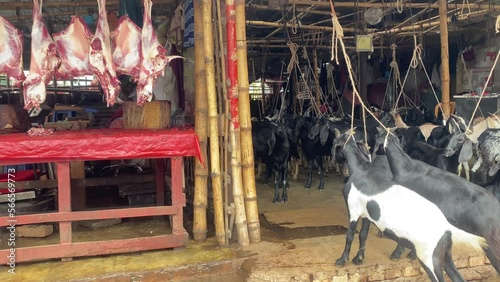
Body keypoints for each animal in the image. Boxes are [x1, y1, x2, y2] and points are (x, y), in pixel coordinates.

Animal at [330, 129, 474, 280]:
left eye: (334, 142)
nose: (342, 169)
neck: (360, 169)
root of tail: (447, 229)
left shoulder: (353, 210)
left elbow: (350, 235)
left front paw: (342, 260)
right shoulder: (366, 214)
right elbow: (363, 235)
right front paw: (359, 258)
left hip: (430, 257)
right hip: (445, 256)